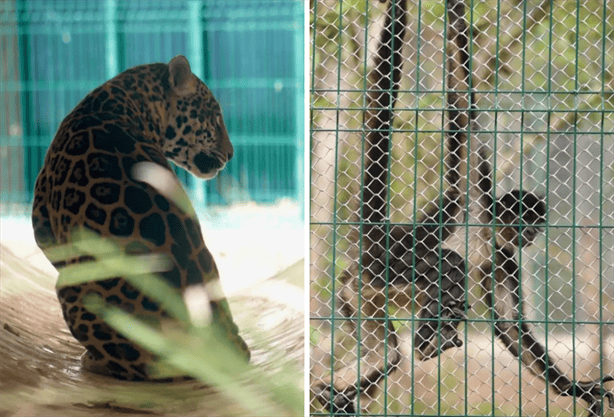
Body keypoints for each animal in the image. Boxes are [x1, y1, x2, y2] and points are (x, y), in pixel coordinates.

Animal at [318, 0, 614, 416]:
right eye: (522, 219)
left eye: (536, 224)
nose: (529, 232)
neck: (487, 231)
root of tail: (378, 241)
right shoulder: (474, 192)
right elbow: (461, 103)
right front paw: (456, 15)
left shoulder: (505, 260)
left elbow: (509, 326)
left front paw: (578, 389)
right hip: (379, 274)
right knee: (446, 263)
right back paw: (425, 341)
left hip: (357, 294)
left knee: (385, 356)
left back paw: (326, 393)